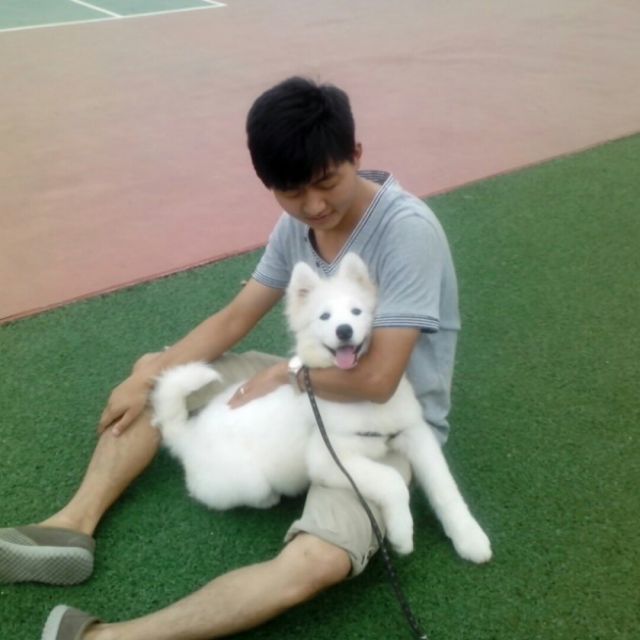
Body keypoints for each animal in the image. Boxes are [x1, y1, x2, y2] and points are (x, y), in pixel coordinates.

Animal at [151, 253, 492, 562]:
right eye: (324, 317)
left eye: (356, 311)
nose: (344, 331)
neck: (358, 397)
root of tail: (189, 435)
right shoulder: (329, 460)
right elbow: (392, 481)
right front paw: (402, 534)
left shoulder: (416, 434)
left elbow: (446, 489)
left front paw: (469, 537)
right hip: (248, 480)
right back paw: (270, 497)